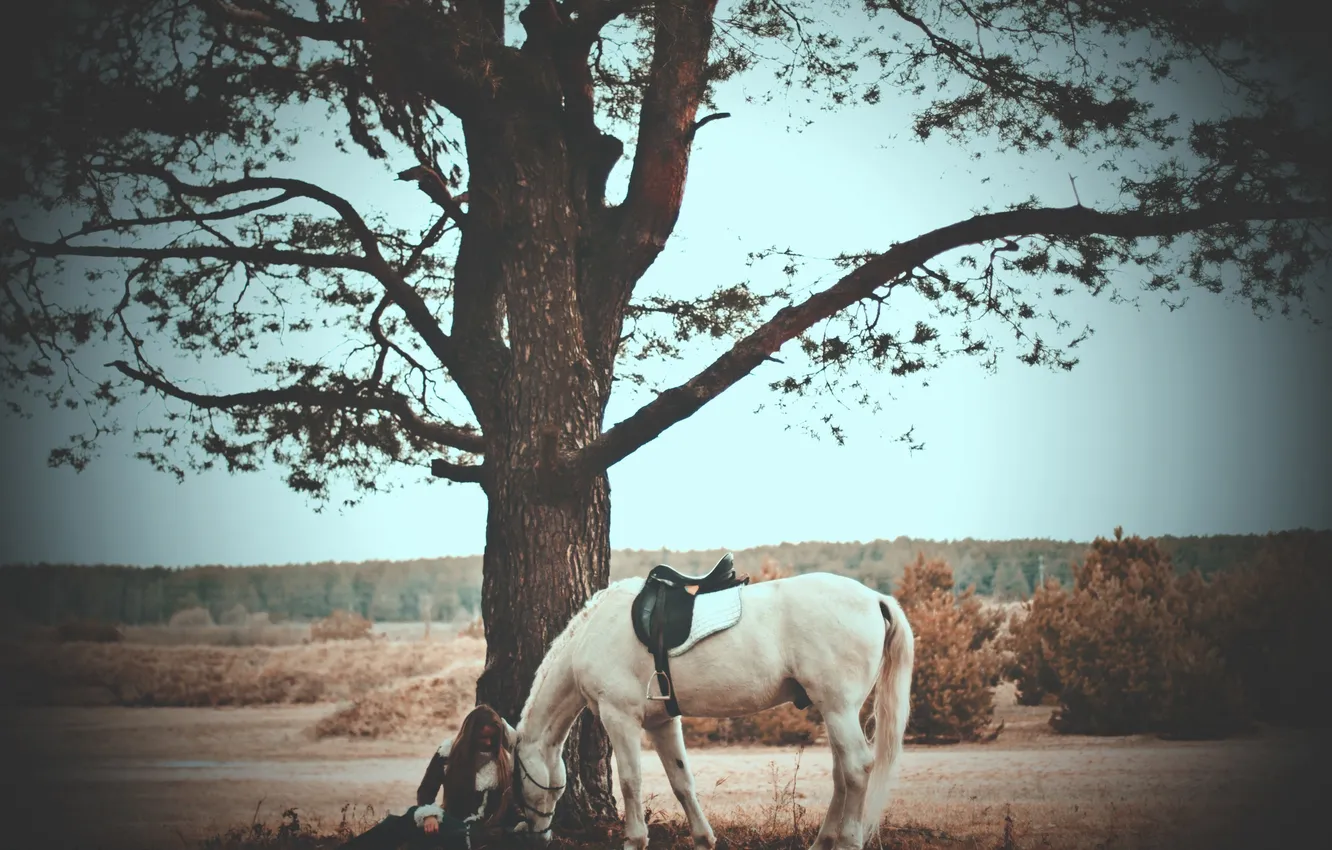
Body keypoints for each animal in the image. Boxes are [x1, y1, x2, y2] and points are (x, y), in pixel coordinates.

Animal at [496, 567, 915, 850]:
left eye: (517, 776)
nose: (536, 835)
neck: (593, 631)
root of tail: (875, 598)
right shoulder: (663, 722)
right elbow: (682, 781)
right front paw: (703, 837)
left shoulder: (621, 718)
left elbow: (631, 781)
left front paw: (634, 840)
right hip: (833, 711)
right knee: (842, 774)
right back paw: (823, 840)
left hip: (839, 709)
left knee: (857, 768)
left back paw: (849, 840)